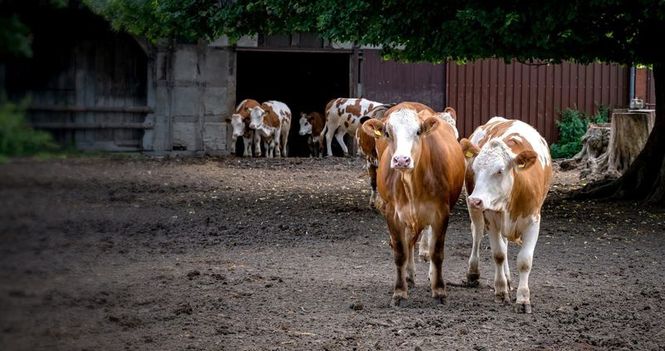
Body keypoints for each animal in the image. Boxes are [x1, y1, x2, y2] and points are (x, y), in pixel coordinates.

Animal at [360, 102, 464, 308]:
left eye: (417, 132)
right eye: (387, 133)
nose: (401, 160)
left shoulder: (441, 213)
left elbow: (436, 251)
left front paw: (439, 290)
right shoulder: (392, 214)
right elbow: (400, 251)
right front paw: (399, 292)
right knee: (408, 242)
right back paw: (408, 274)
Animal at [460, 117, 552, 314]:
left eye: (499, 170)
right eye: (475, 168)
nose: (475, 200)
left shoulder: (533, 221)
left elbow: (525, 261)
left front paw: (523, 298)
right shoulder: (491, 218)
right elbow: (499, 254)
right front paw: (501, 291)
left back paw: (509, 279)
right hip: (477, 213)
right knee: (477, 234)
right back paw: (473, 273)